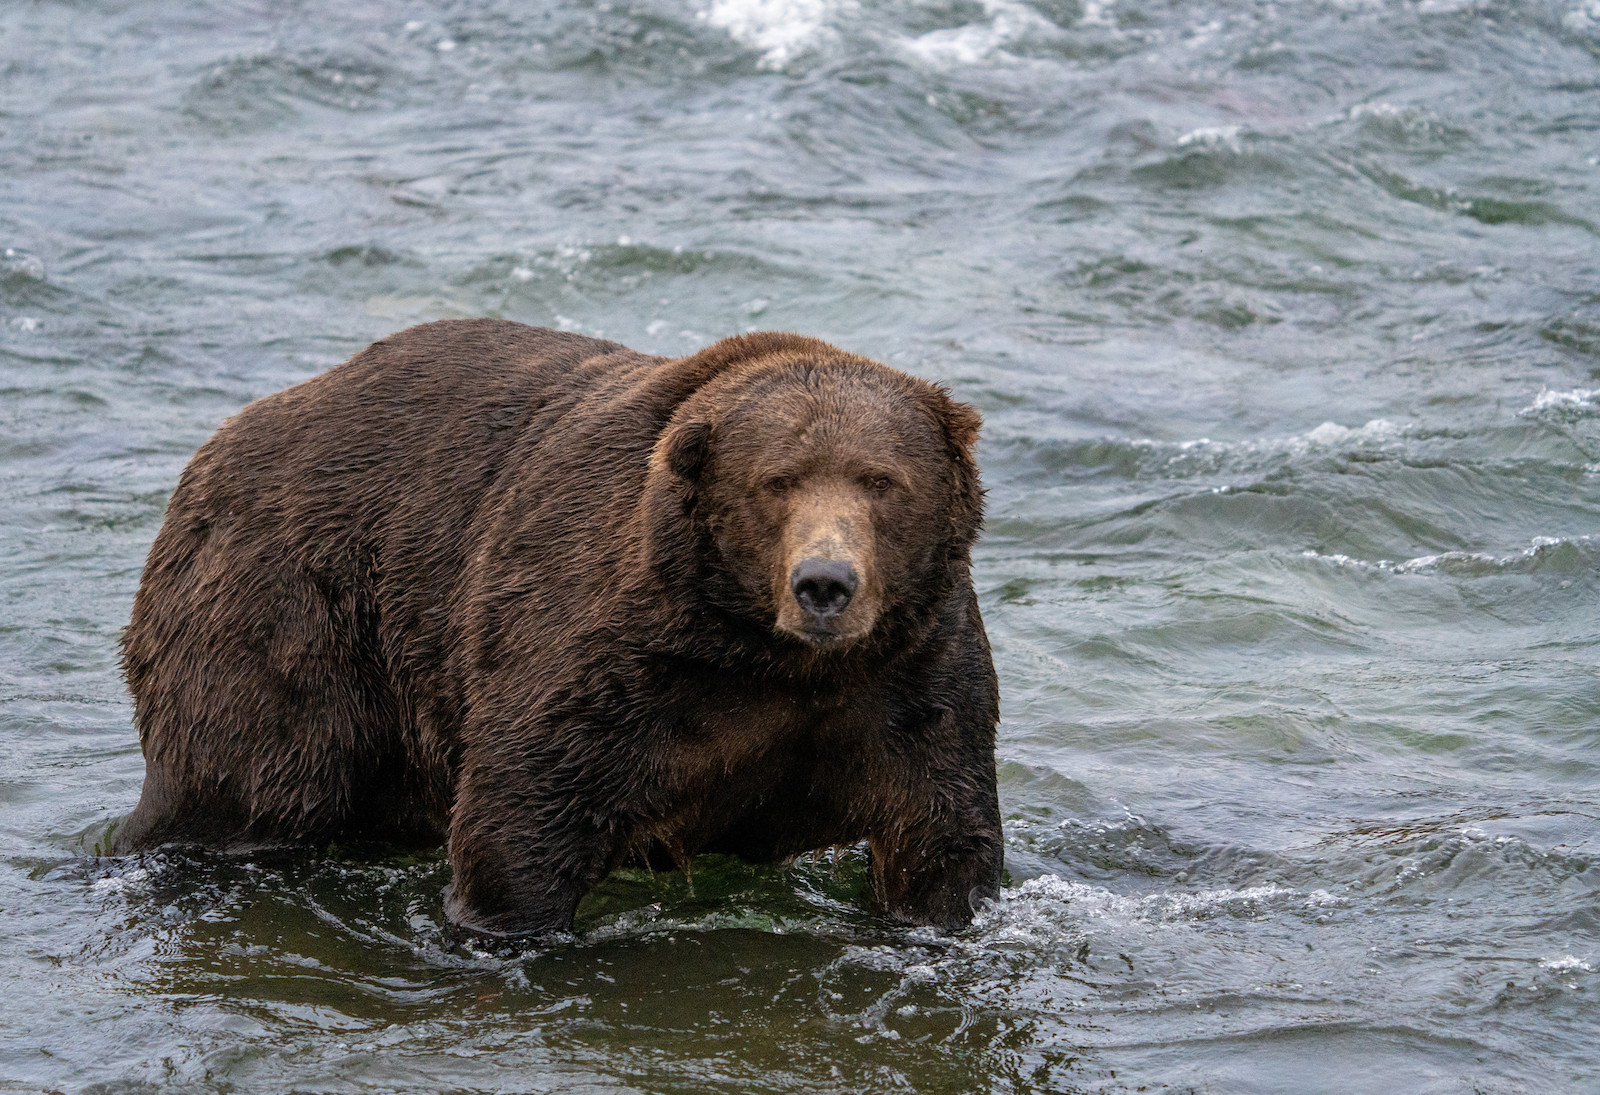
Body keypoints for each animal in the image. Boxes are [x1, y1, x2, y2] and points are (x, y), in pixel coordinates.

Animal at [116, 320, 998, 934]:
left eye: (881, 480)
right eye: (776, 481)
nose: (825, 584)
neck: (764, 656)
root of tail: (219, 444)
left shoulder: (907, 675)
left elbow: (941, 833)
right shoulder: (613, 659)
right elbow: (521, 812)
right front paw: (508, 924)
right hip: (289, 610)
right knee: (246, 779)